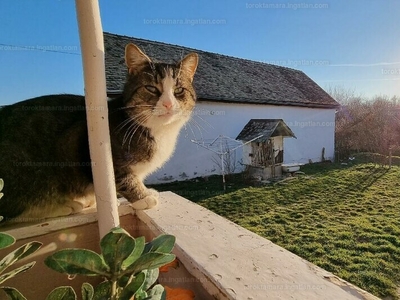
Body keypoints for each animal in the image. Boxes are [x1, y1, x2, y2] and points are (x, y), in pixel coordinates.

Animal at [0, 43, 199, 224]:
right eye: (151, 88)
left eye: (178, 90)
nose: (168, 104)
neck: (158, 131)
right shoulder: (84, 144)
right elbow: (121, 177)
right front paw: (143, 197)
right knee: (12, 211)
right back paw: (65, 206)